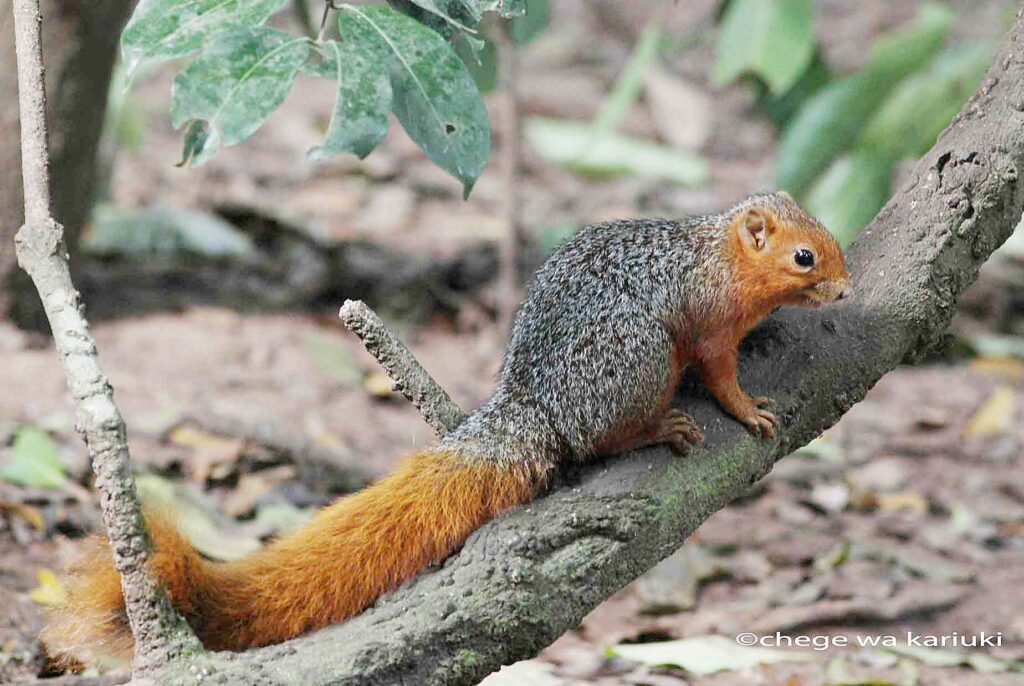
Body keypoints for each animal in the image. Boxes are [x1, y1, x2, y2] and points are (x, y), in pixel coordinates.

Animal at [44, 192, 851, 659]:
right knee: (601, 436)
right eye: (804, 256)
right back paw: (657, 430)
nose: (845, 289)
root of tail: (532, 405)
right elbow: (719, 372)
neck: (715, 257)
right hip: (640, 357)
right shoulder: (708, 324)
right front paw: (748, 409)